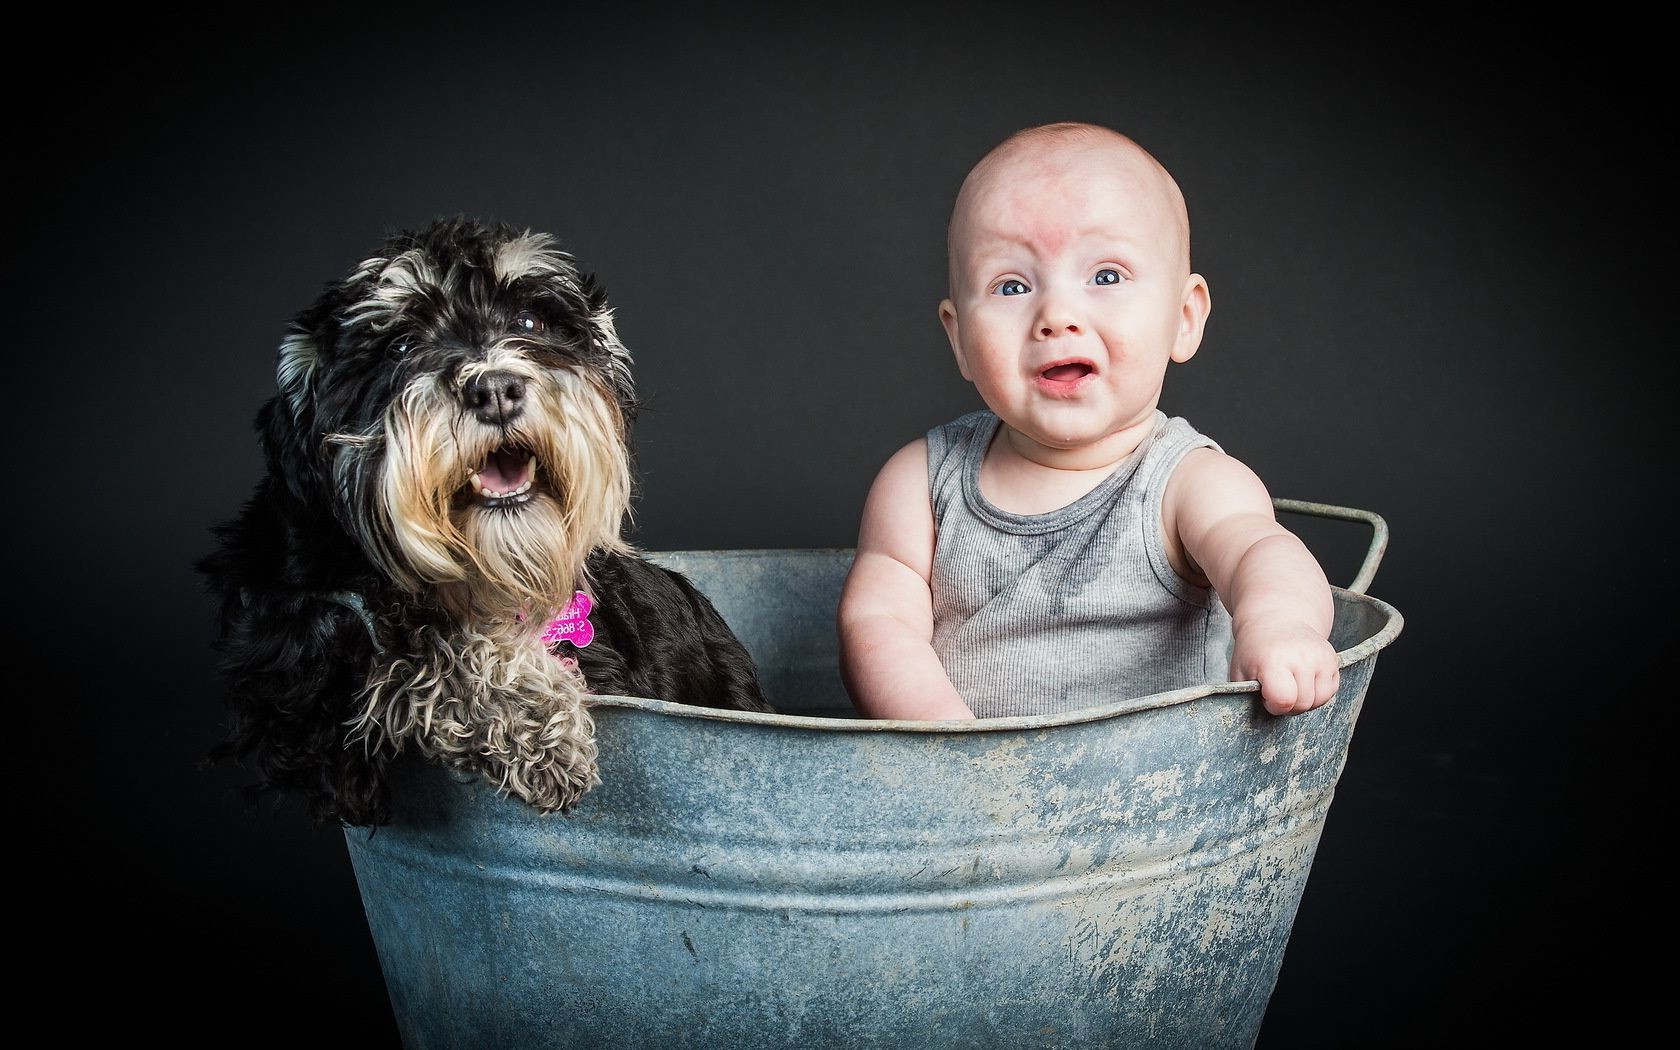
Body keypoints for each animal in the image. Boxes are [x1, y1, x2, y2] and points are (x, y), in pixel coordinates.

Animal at [201, 216, 772, 823]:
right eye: (399, 345)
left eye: (530, 320)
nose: (495, 388)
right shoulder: (283, 641)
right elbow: (415, 636)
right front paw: (539, 726)